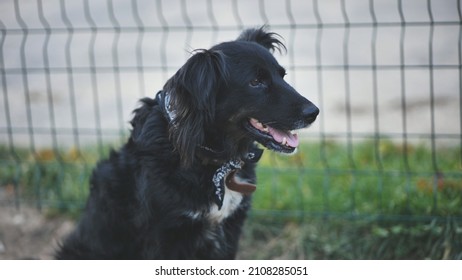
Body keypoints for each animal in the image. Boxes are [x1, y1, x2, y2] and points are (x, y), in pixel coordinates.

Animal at [55, 27, 318, 260]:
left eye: (282, 76)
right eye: (256, 82)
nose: (313, 112)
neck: (214, 158)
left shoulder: (230, 229)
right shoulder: (165, 235)